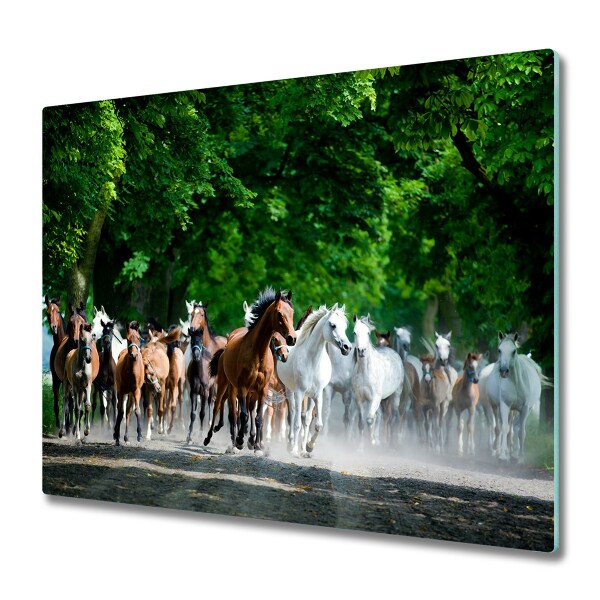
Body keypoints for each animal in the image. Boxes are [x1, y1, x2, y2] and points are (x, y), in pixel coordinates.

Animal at [203, 288, 296, 452]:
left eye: (292, 312)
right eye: (279, 313)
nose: (292, 338)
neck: (258, 353)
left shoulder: (262, 389)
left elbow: (258, 417)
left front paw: (257, 446)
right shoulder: (243, 387)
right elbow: (244, 414)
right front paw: (240, 440)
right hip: (225, 385)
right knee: (220, 407)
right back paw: (211, 437)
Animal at [276, 304, 352, 454]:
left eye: (345, 327)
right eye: (333, 325)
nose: (347, 347)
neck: (312, 361)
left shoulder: (318, 394)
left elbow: (317, 424)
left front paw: (308, 447)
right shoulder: (299, 392)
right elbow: (297, 423)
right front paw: (294, 450)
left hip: (309, 396)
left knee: (306, 419)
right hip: (290, 390)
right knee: (293, 414)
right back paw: (291, 444)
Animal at [352, 314, 404, 446]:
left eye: (368, 332)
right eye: (354, 332)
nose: (361, 351)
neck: (365, 371)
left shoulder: (375, 398)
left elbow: (370, 419)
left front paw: (372, 441)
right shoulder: (359, 399)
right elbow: (362, 423)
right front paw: (361, 446)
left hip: (395, 396)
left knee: (393, 418)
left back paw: (391, 443)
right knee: (380, 415)